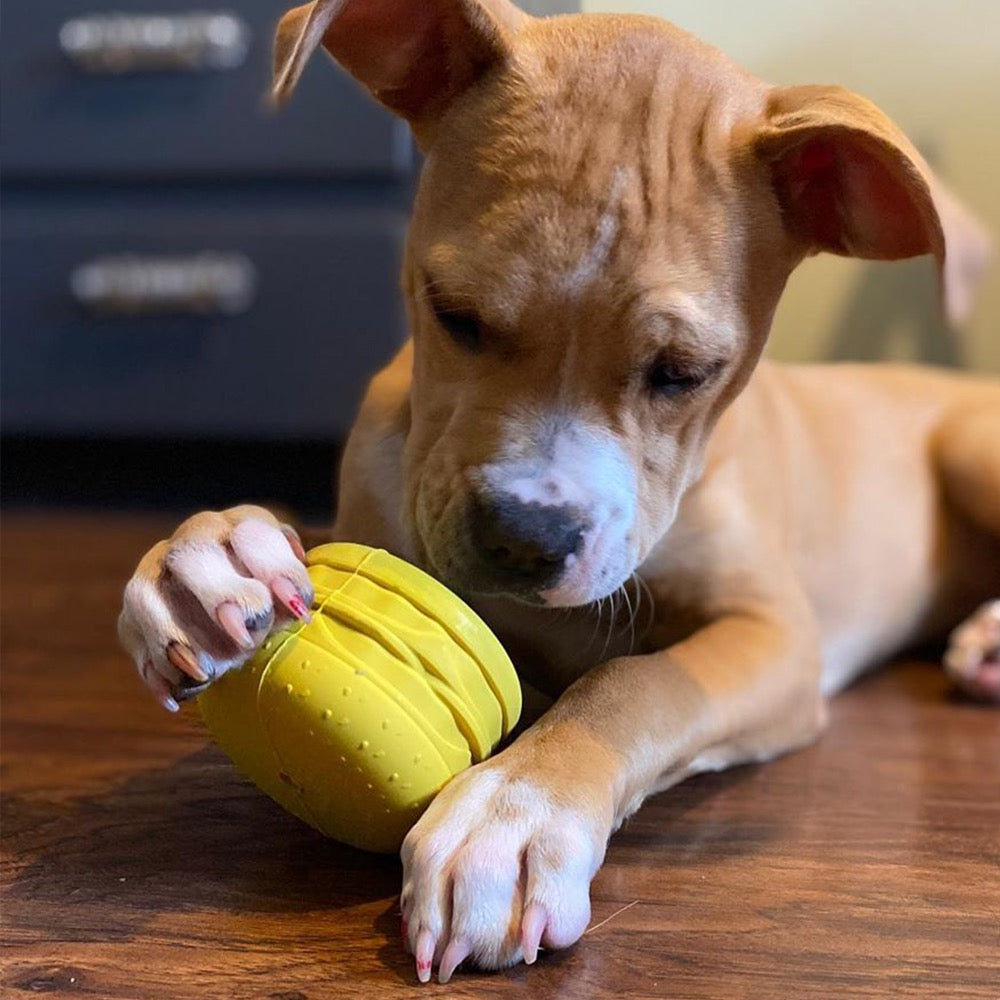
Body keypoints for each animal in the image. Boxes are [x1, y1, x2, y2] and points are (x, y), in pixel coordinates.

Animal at [119, 0, 1000, 984]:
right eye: (453, 313)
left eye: (683, 372)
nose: (522, 539)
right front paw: (214, 558)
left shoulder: (773, 634)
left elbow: (635, 683)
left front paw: (515, 812)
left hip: (972, 450)